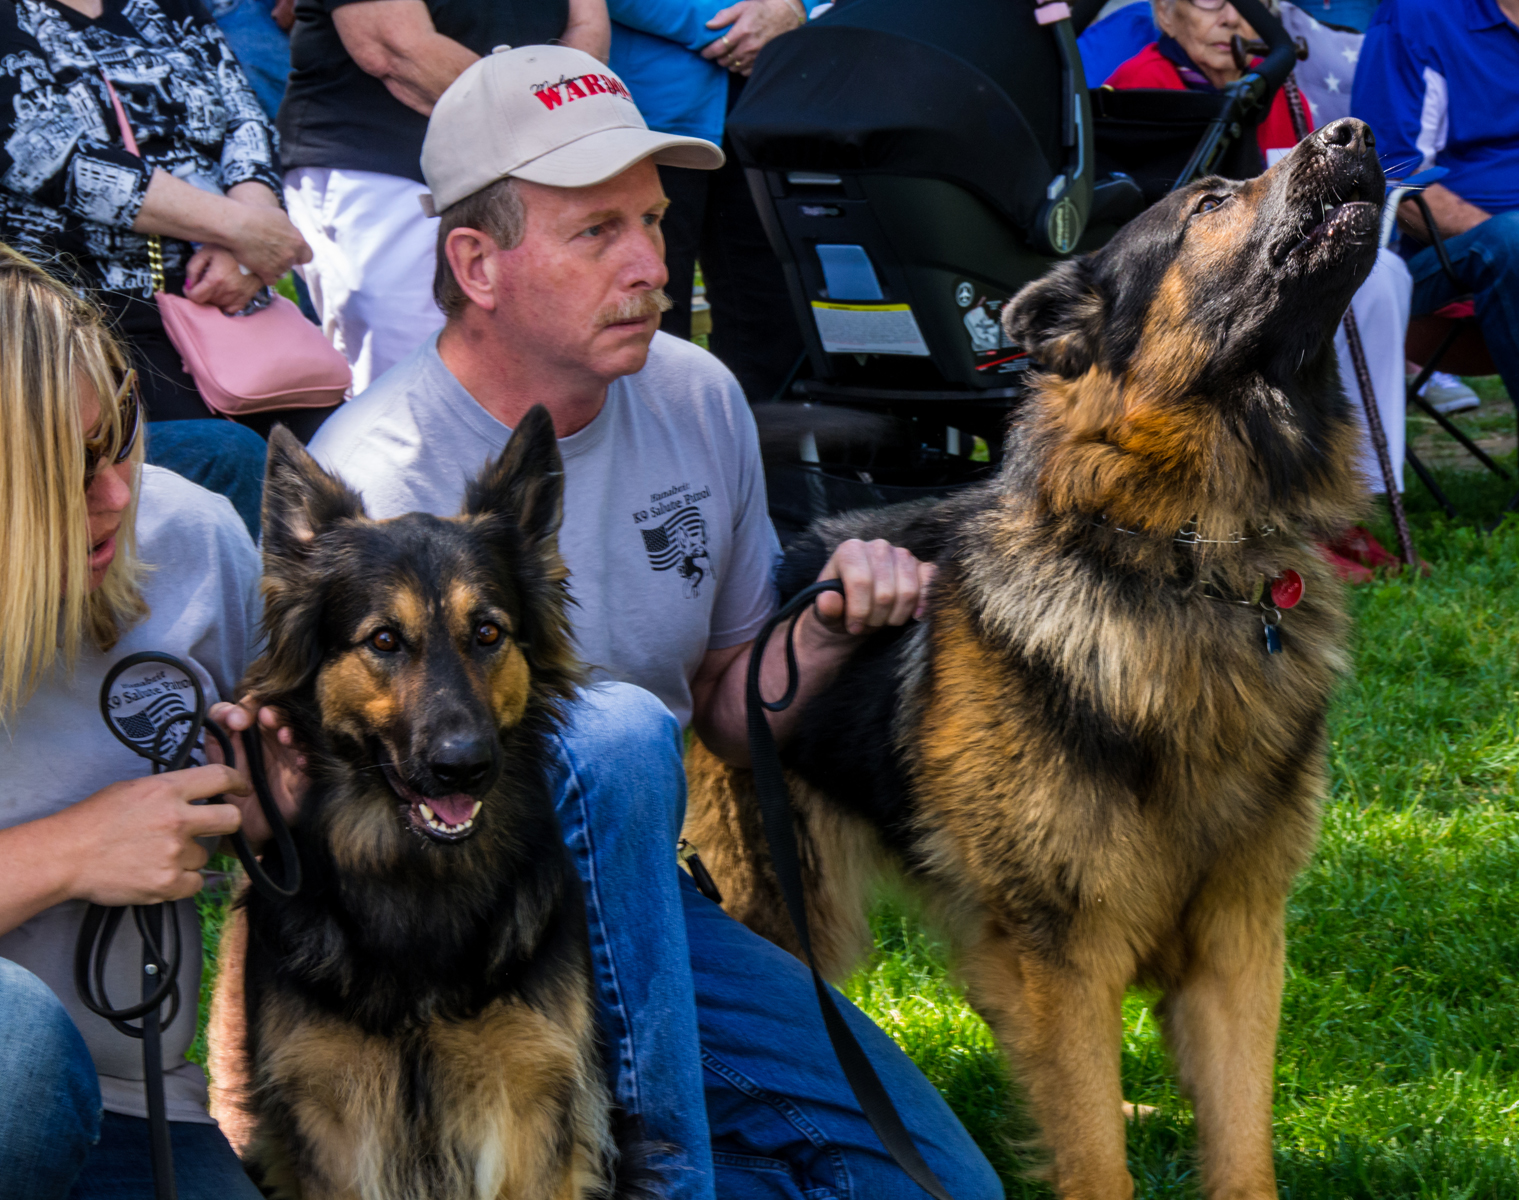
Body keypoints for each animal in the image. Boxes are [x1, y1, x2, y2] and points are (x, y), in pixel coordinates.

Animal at [233, 410, 644, 1200]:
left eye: (487, 632)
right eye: (384, 640)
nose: (465, 766)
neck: (417, 881)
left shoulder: (533, 1103)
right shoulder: (330, 1115)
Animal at [689, 117, 1391, 1196]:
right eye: (1209, 202)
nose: (1352, 131)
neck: (1183, 559)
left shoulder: (1235, 945)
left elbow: (1235, 1150)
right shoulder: (1061, 951)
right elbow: (1094, 1160)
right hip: (778, 897)